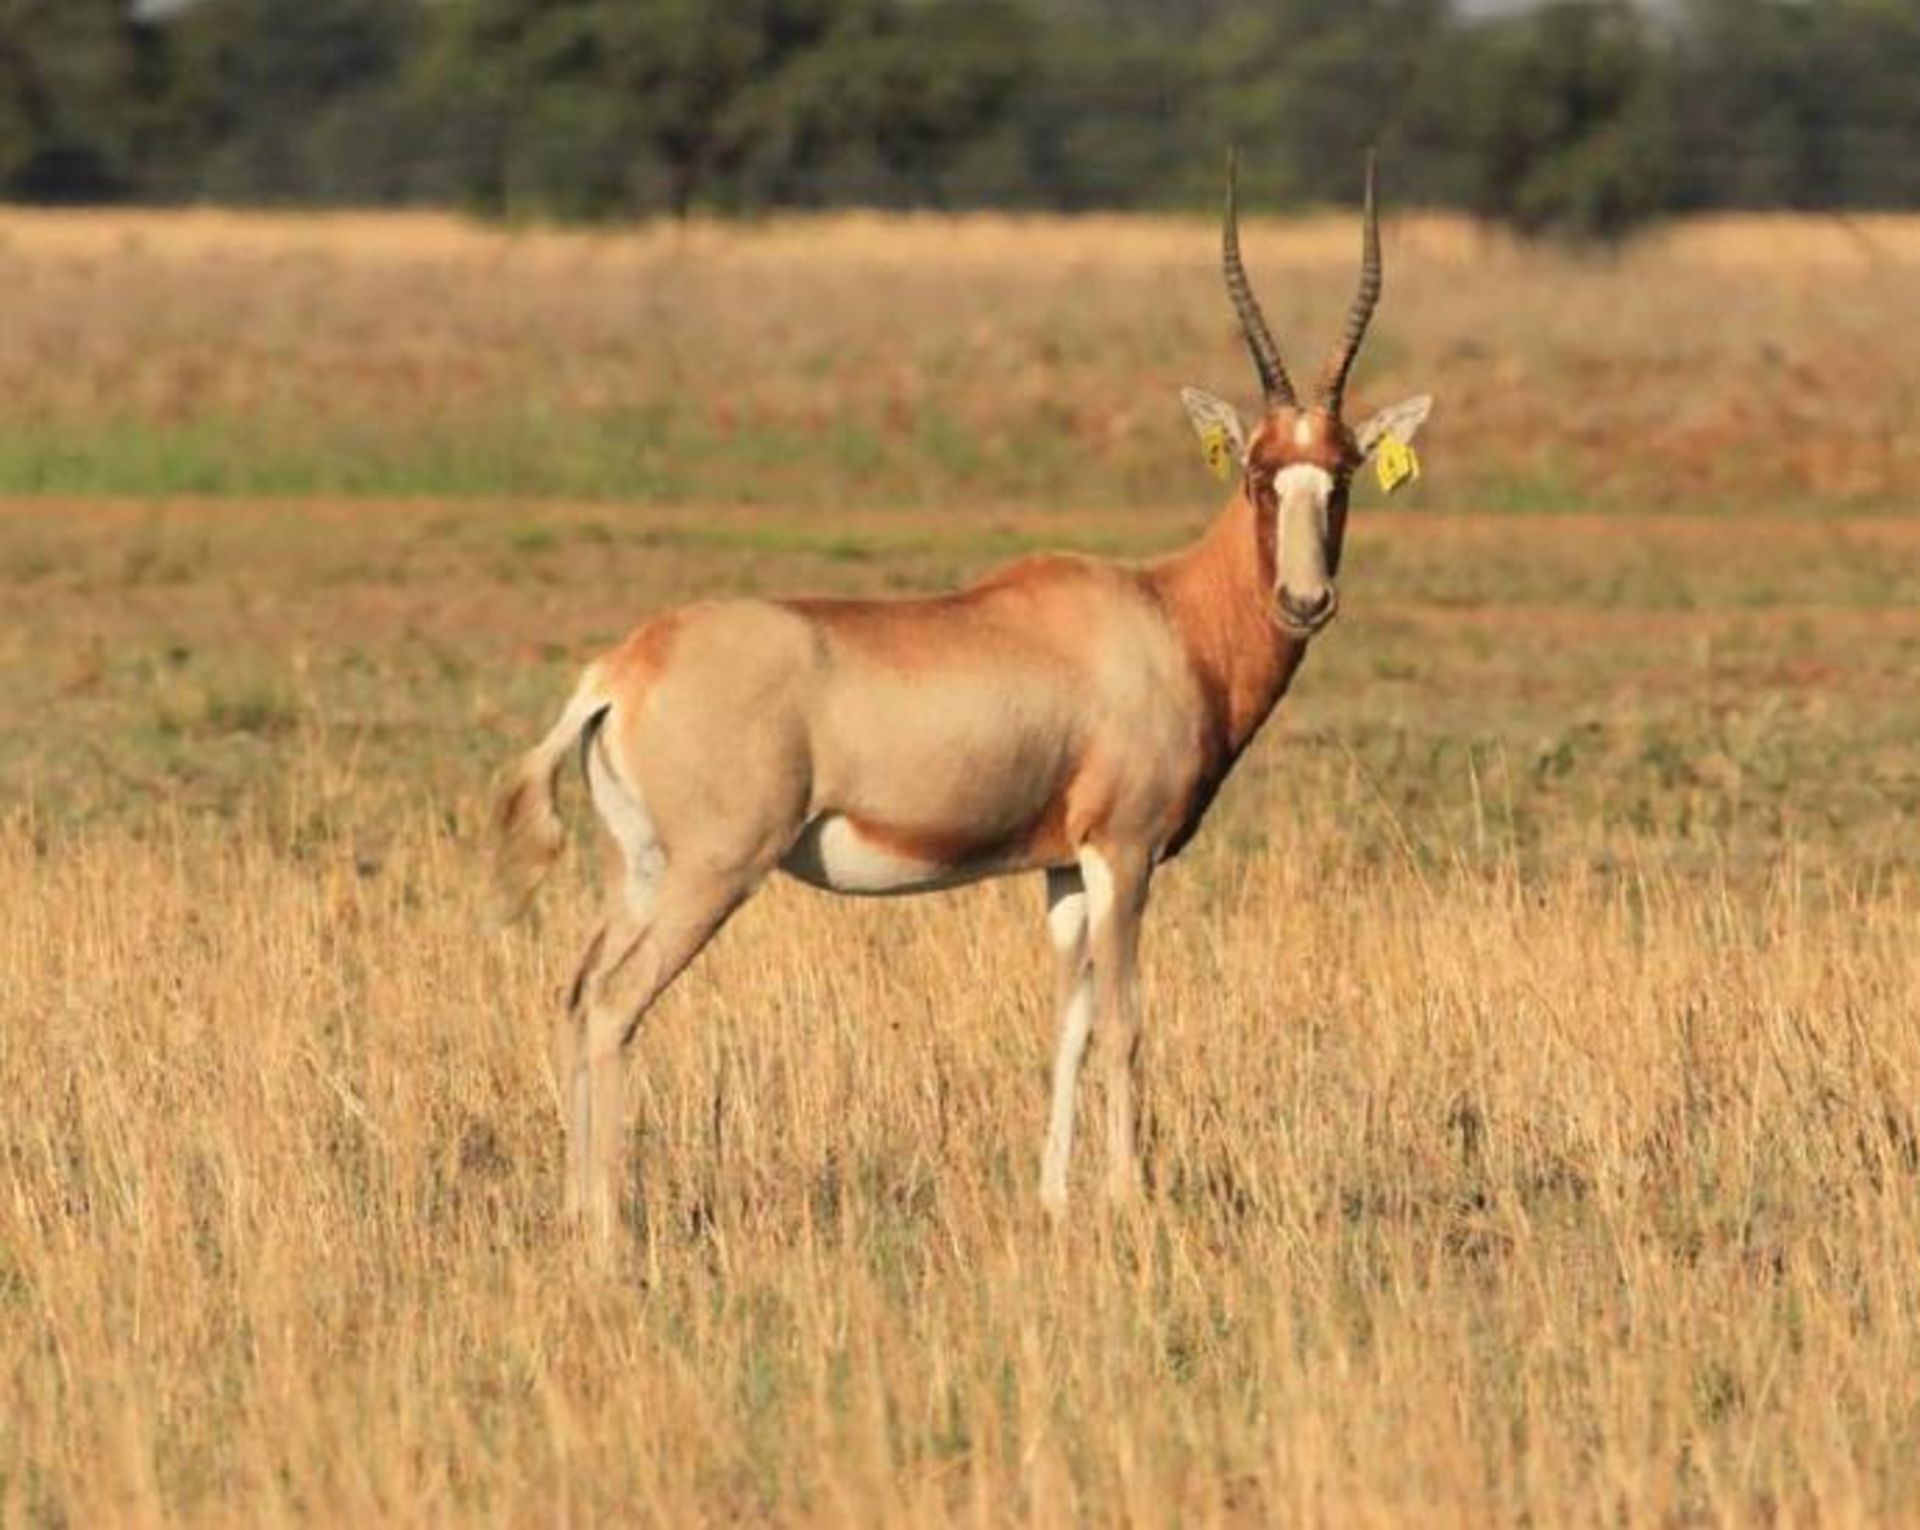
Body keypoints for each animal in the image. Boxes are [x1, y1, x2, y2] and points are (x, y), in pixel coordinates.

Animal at [491, 148, 1428, 1236]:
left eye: (1342, 471)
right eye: (1258, 470)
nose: (1304, 600)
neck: (1163, 614)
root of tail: (623, 668)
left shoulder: (1062, 869)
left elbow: (1067, 1025)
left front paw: (1055, 1198)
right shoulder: (1126, 854)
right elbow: (1125, 1022)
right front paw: (1128, 1198)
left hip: (640, 871)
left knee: (575, 993)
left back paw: (572, 1212)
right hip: (711, 872)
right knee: (613, 1005)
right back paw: (606, 1227)